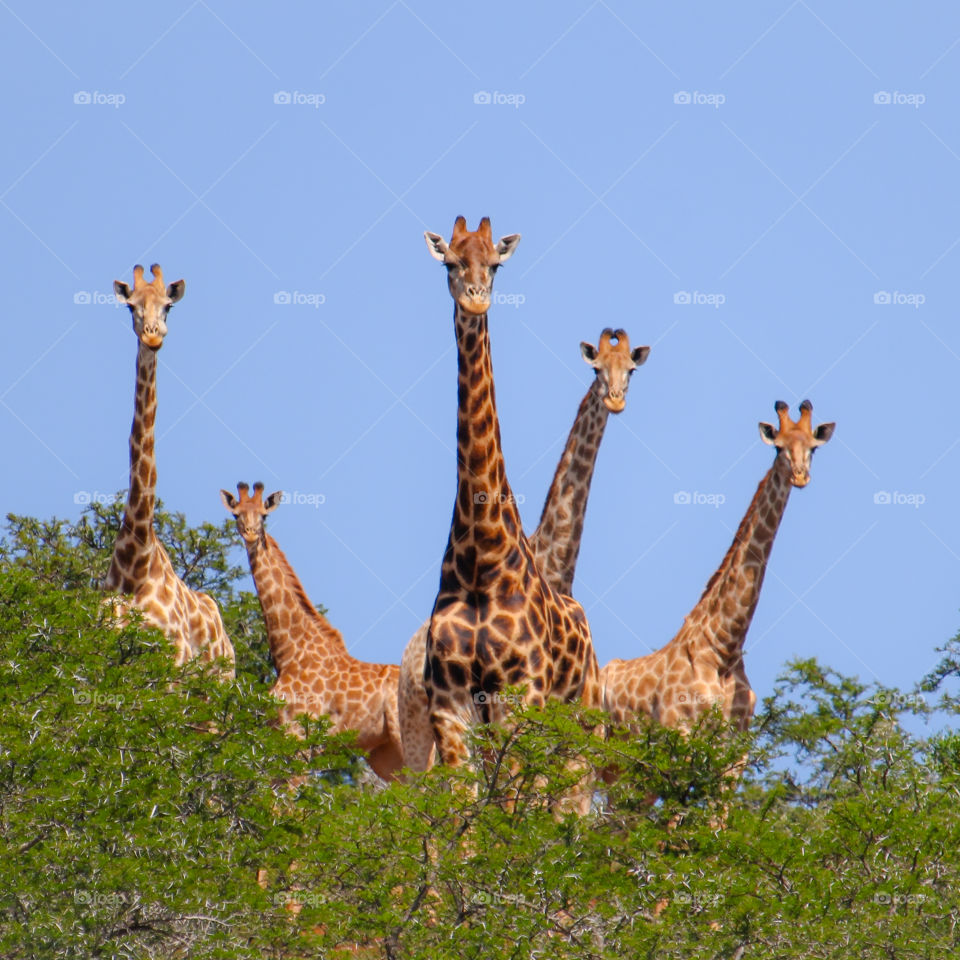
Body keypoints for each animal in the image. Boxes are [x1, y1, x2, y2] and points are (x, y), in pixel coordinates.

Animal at [219, 480, 404, 780]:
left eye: (264, 516)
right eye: (236, 515)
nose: (250, 534)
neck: (289, 653)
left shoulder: (301, 739)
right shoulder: (279, 736)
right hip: (386, 756)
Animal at [420, 214, 600, 768]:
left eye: (496, 265)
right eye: (451, 262)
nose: (477, 300)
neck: (482, 558)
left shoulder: (521, 696)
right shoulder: (450, 705)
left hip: (581, 727)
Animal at [600, 398, 832, 736]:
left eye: (813, 448)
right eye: (778, 448)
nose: (800, 477)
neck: (725, 648)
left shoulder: (735, 738)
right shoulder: (679, 727)